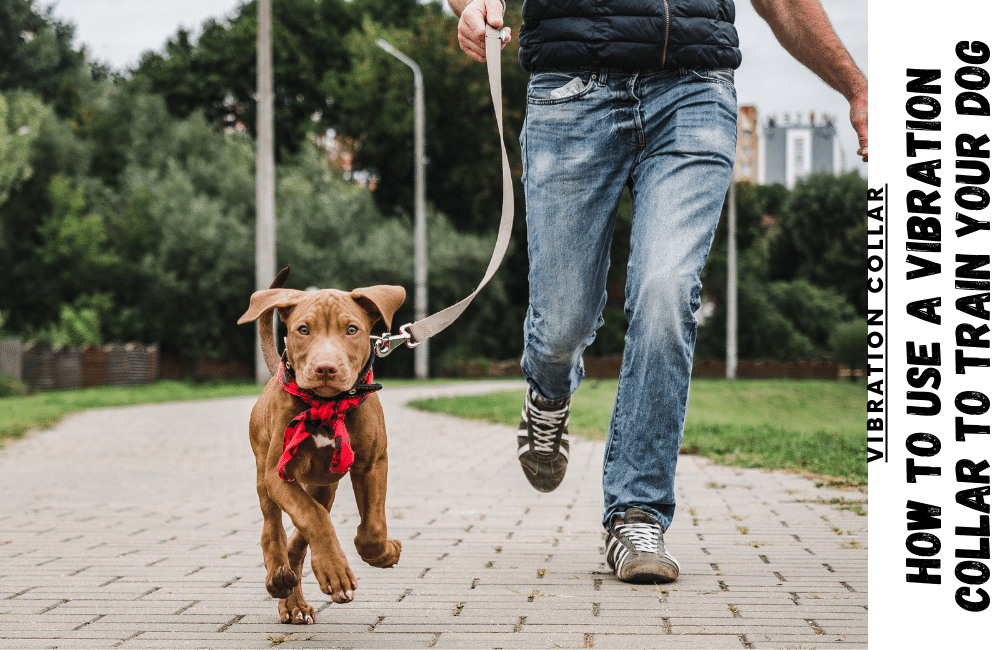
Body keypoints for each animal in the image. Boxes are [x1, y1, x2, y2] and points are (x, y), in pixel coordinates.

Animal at [236, 268, 404, 624]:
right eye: (303, 330)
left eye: (352, 329)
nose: (325, 368)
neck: (327, 406)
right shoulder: (279, 475)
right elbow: (312, 518)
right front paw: (335, 570)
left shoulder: (372, 464)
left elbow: (371, 529)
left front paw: (384, 553)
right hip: (264, 473)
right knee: (274, 530)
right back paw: (280, 581)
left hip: (324, 484)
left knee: (300, 536)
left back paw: (293, 598)